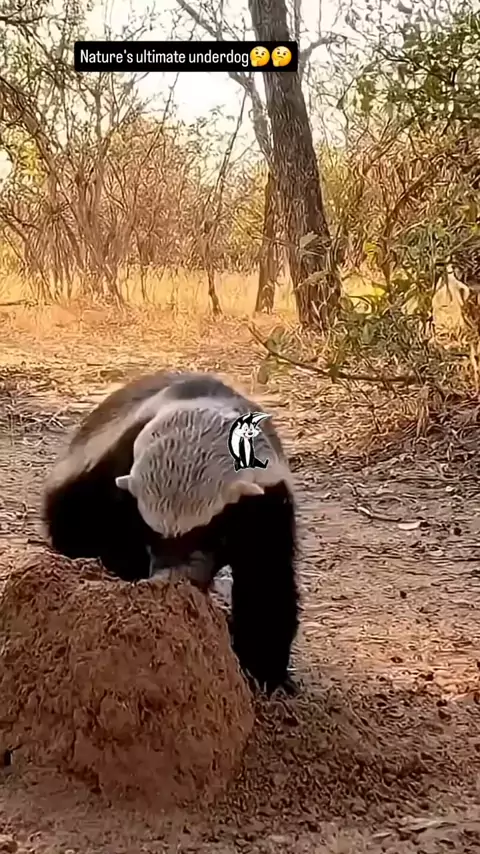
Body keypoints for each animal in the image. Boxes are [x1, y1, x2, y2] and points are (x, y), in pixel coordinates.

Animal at [42, 370, 300, 696]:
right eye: (151, 538)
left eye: (209, 536)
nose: (170, 580)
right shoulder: (113, 482)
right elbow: (112, 536)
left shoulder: (268, 503)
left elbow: (267, 580)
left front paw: (265, 672)